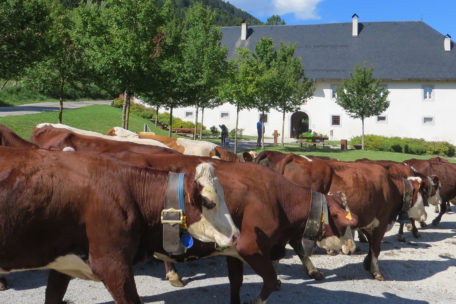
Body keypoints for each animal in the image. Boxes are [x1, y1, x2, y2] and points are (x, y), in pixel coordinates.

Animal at [31, 124, 360, 304]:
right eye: (345, 221)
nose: (351, 247)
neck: (276, 195)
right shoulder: (250, 245)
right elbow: (268, 280)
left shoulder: (235, 249)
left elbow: (237, 283)